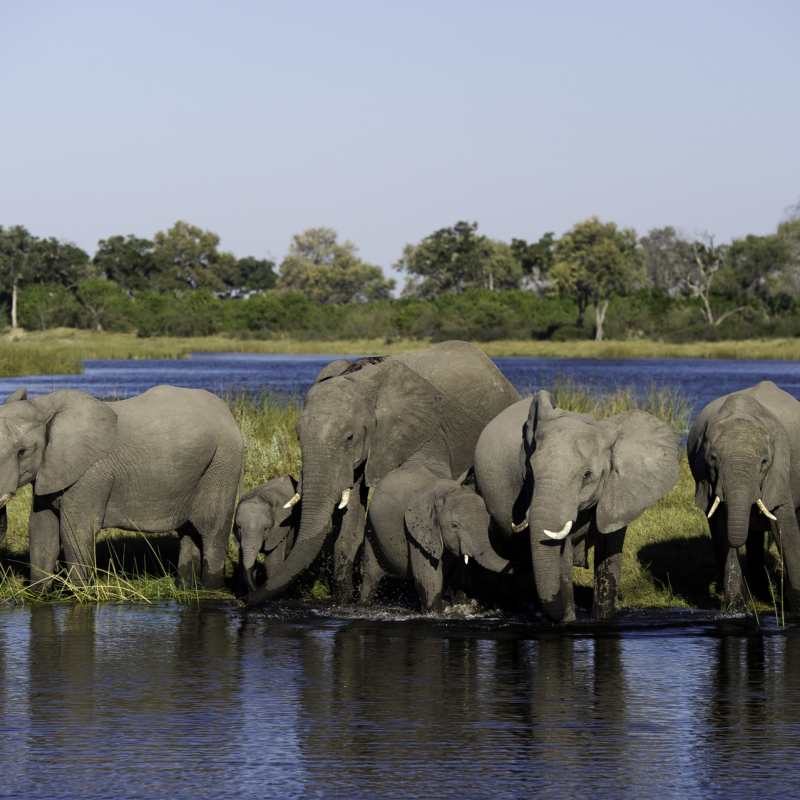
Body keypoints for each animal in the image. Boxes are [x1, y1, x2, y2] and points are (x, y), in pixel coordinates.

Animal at [0, 385, 243, 590]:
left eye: (22, 452)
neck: (42, 405)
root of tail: (227, 412)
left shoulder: (90, 474)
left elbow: (76, 531)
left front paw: (81, 595)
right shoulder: (49, 471)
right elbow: (42, 530)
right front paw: (38, 595)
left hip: (223, 463)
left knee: (212, 530)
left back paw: (211, 589)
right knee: (189, 531)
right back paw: (185, 588)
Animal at [362, 462, 511, 610]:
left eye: (488, 523)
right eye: (454, 525)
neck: (447, 493)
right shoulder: (417, 534)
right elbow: (429, 579)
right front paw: (436, 611)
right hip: (371, 530)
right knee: (370, 577)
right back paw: (365, 604)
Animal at [474, 390, 679, 622]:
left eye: (587, 475)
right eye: (529, 471)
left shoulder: (619, 493)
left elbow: (609, 549)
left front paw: (602, 618)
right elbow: (563, 555)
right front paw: (568, 621)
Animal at [687, 380, 800, 611]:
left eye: (764, 462)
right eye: (713, 459)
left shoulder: (780, 469)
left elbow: (784, 525)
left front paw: (795, 605)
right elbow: (721, 528)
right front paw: (735, 609)